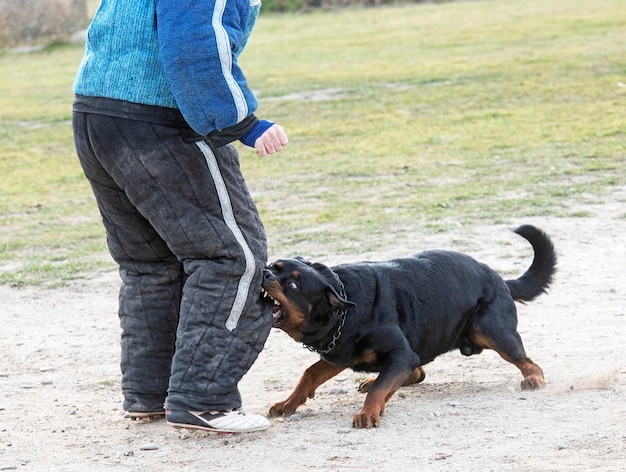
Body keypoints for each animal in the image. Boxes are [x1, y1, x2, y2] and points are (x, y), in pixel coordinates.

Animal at [260, 225, 552, 428]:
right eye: (274, 265)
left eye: (293, 284)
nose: (264, 272)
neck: (343, 308)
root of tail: (499, 278)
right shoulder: (340, 354)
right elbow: (309, 373)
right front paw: (288, 403)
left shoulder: (401, 354)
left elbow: (380, 388)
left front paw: (368, 412)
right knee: (417, 372)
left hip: (493, 332)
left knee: (528, 361)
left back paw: (534, 379)